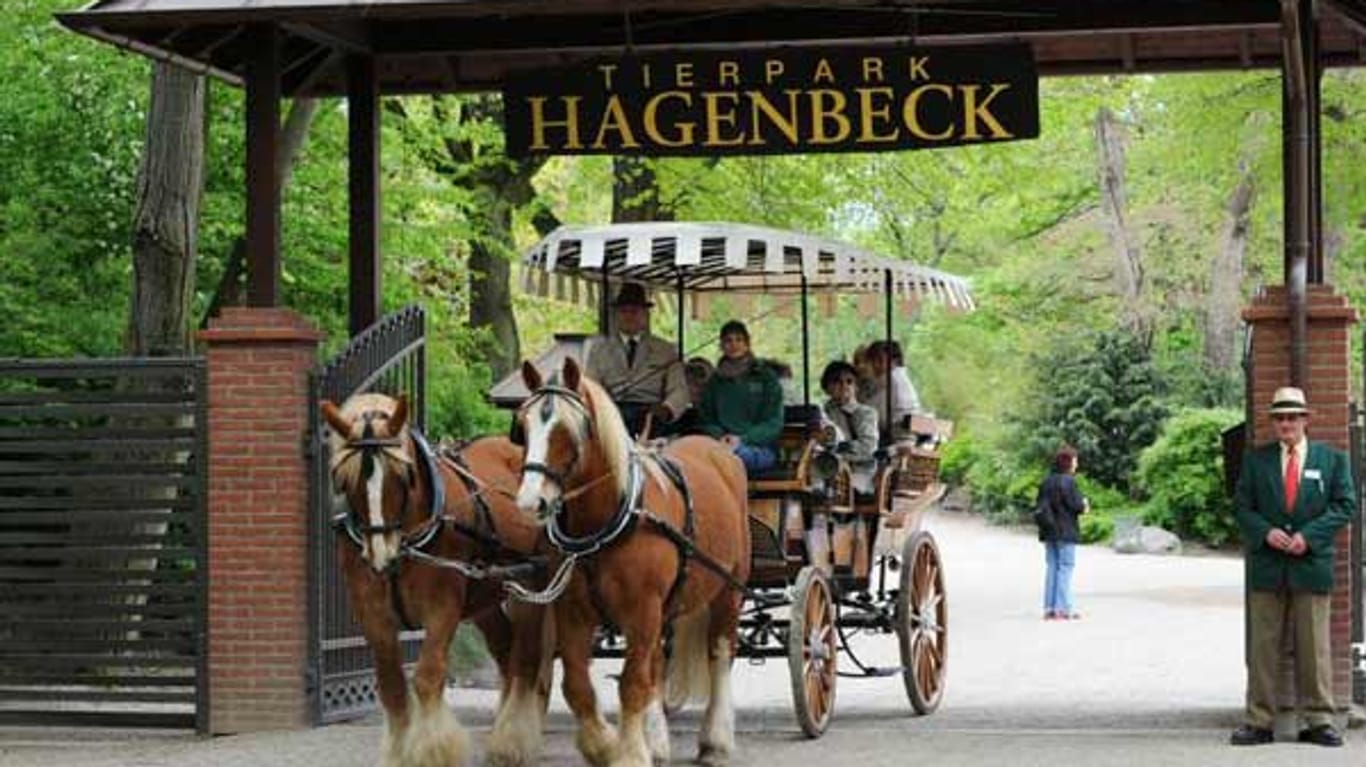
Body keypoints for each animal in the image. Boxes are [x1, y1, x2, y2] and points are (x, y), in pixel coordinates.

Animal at [319, 393, 549, 765]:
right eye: (345, 478)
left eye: (404, 474)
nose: (381, 554)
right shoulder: (373, 613)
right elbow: (391, 686)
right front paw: (399, 751)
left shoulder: (442, 608)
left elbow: (427, 675)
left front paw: (433, 750)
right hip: (486, 598)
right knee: (506, 654)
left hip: (533, 585)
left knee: (526, 660)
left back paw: (514, 740)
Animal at [513, 360, 754, 765]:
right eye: (523, 426)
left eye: (567, 430)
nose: (531, 504)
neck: (606, 522)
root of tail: (718, 449)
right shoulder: (573, 611)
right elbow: (578, 684)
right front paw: (605, 745)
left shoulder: (642, 609)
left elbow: (632, 683)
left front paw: (628, 753)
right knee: (656, 662)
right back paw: (656, 739)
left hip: (728, 589)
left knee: (719, 653)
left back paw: (715, 739)